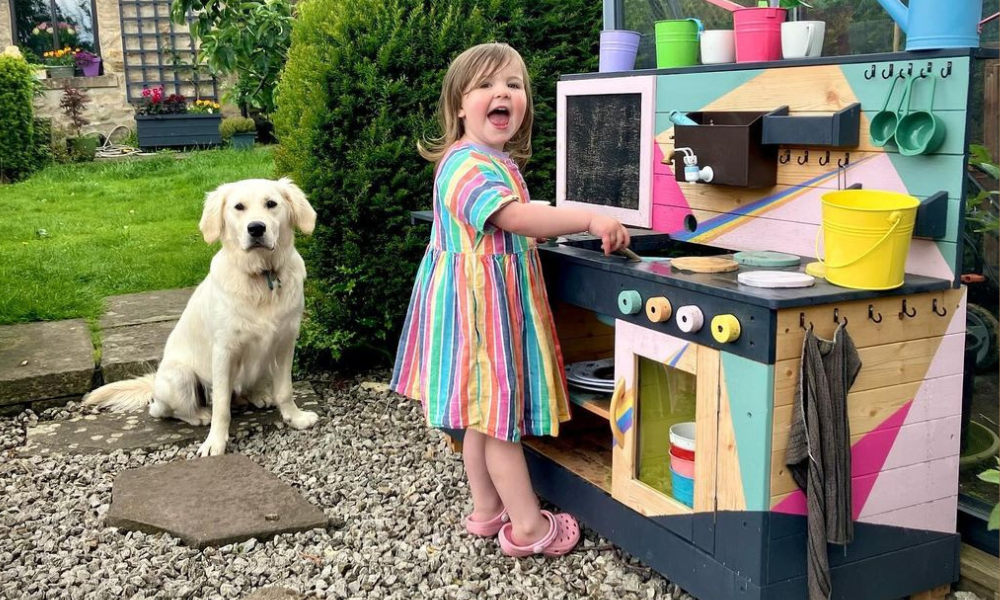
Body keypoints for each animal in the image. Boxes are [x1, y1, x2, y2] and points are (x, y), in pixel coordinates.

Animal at [88, 178, 320, 454]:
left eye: (271, 204)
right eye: (239, 207)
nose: (256, 228)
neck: (262, 277)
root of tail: (155, 381)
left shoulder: (285, 342)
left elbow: (285, 390)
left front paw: (295, 418)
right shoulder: (223, 350)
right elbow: (221, 405)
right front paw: (215, 442)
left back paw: (258, 396)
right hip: (180, 376)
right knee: (163, 410)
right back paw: (199, 415)